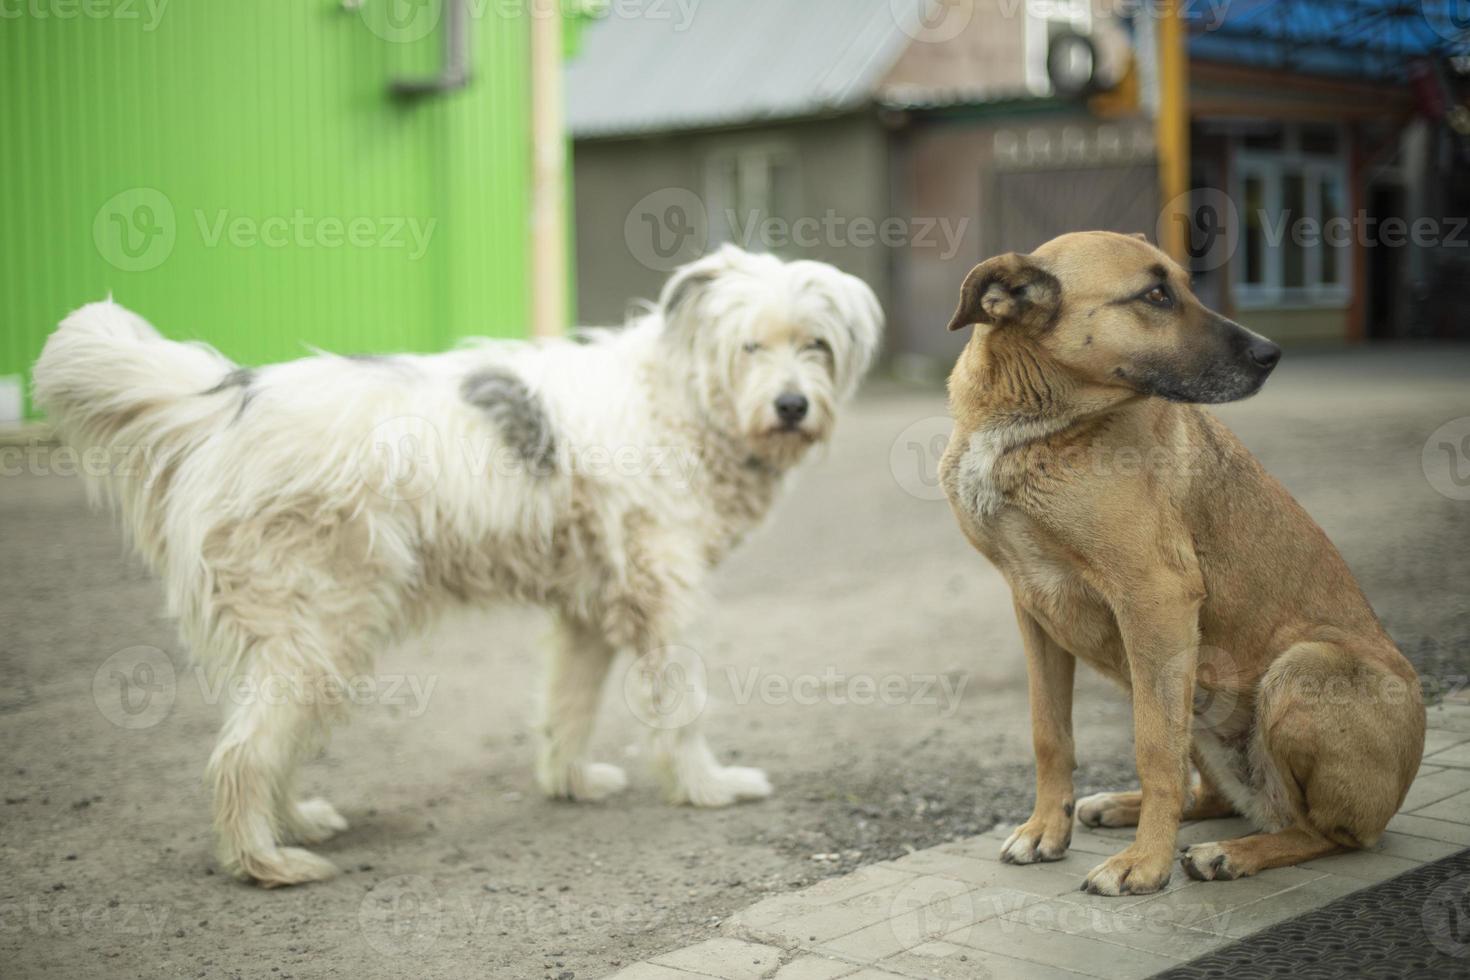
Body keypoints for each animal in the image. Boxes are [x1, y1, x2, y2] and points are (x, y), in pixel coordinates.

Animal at [34, 245, 876, 887]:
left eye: (816, 345)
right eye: (750, 347)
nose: (793, 405)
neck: (680, 401)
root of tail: (230, 399)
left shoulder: (590, 609)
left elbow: (569, 706)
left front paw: (571, 783)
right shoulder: (665, 600)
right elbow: (684, 707)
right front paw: (708, 788)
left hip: (305, 636)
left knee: (268, 742)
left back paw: (296, 821)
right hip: (322, 627)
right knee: (244, 751)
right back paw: (266, 862)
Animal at [940, 230, 1422, 899]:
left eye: (1185, 288)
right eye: (1155, 296)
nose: (1273, 354)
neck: (1033, 425)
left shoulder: (1155, 598)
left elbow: (1154, 749)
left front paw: (1146, 865)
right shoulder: (1032, 604)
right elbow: (1049, 732)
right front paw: (1047, 831)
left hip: (1298, 668)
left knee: (1325, 832)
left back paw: (1231, 853)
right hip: (1183, 681)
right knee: (1218, 796)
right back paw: (1125, 807)